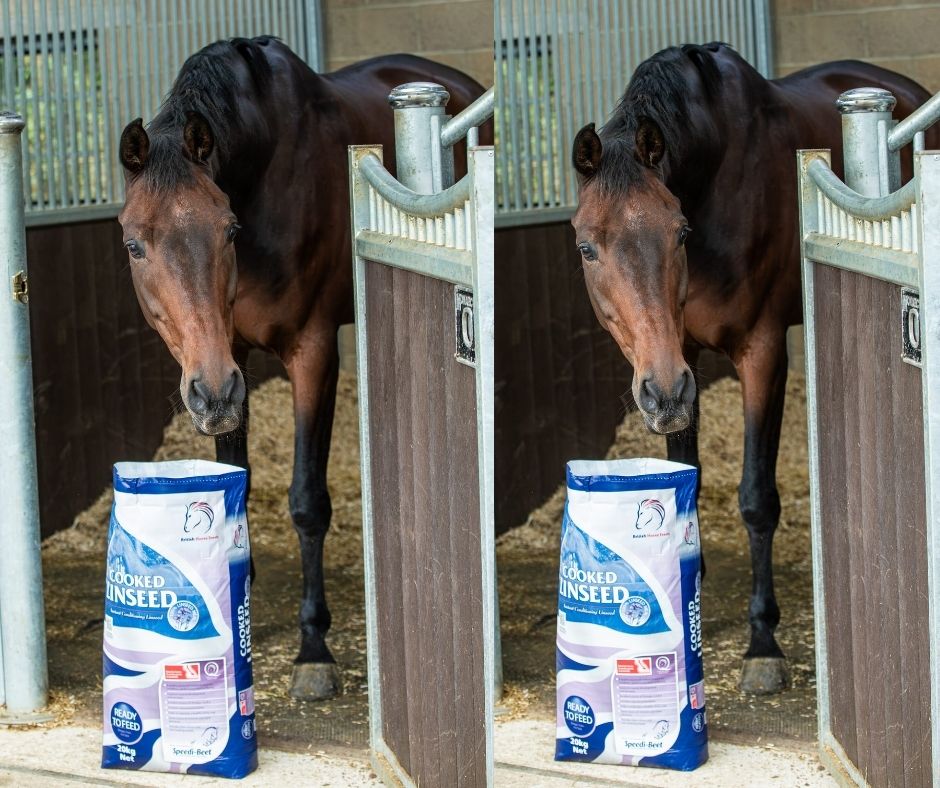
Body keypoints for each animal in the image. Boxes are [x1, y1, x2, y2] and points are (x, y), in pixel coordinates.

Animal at [116, 36, 487, 700]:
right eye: (135, 244)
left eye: (228, 229)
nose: (209, 392)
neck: (262, 172)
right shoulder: (229, 359)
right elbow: (232, 483)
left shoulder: (312, 351)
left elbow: (307, 501)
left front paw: (313, 649)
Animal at [570, 42, 935, 694]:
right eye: (587, 247)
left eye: (679, 232)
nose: (660, 391)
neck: (714, 174)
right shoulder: (681, 361)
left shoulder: (761, 351)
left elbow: (757, 498)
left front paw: (762, 644)